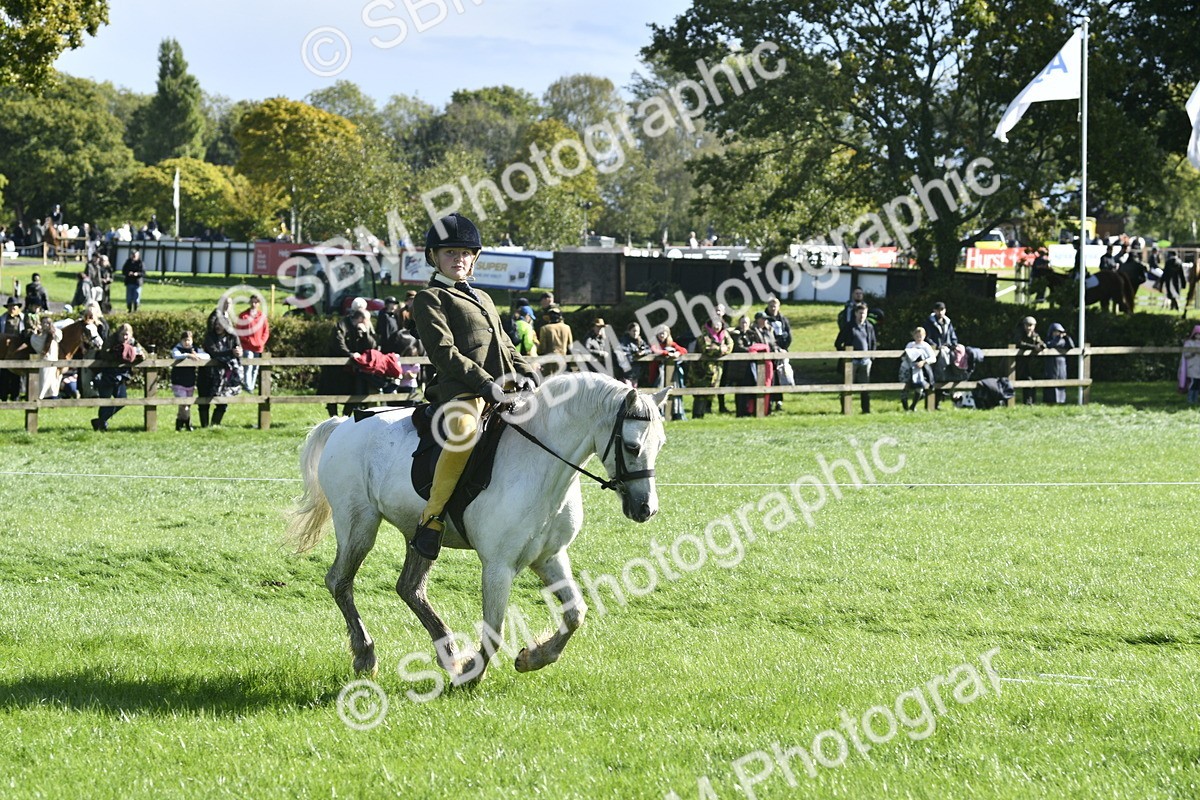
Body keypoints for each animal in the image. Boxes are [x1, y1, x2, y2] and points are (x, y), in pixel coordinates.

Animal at [286, 372, 670, 685]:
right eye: (632, 446)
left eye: (661, 444)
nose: (646, 509)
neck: (539, 465)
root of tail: (344, 423)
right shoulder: (499, 566)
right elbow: (495, 628)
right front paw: (473, 675)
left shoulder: (550, 557)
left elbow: (576, 613)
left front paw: (532, 658)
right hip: (359, 524)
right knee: (340, 582)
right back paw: (366, 655)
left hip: (418, 534)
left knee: (410, 588)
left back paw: (449, 656)